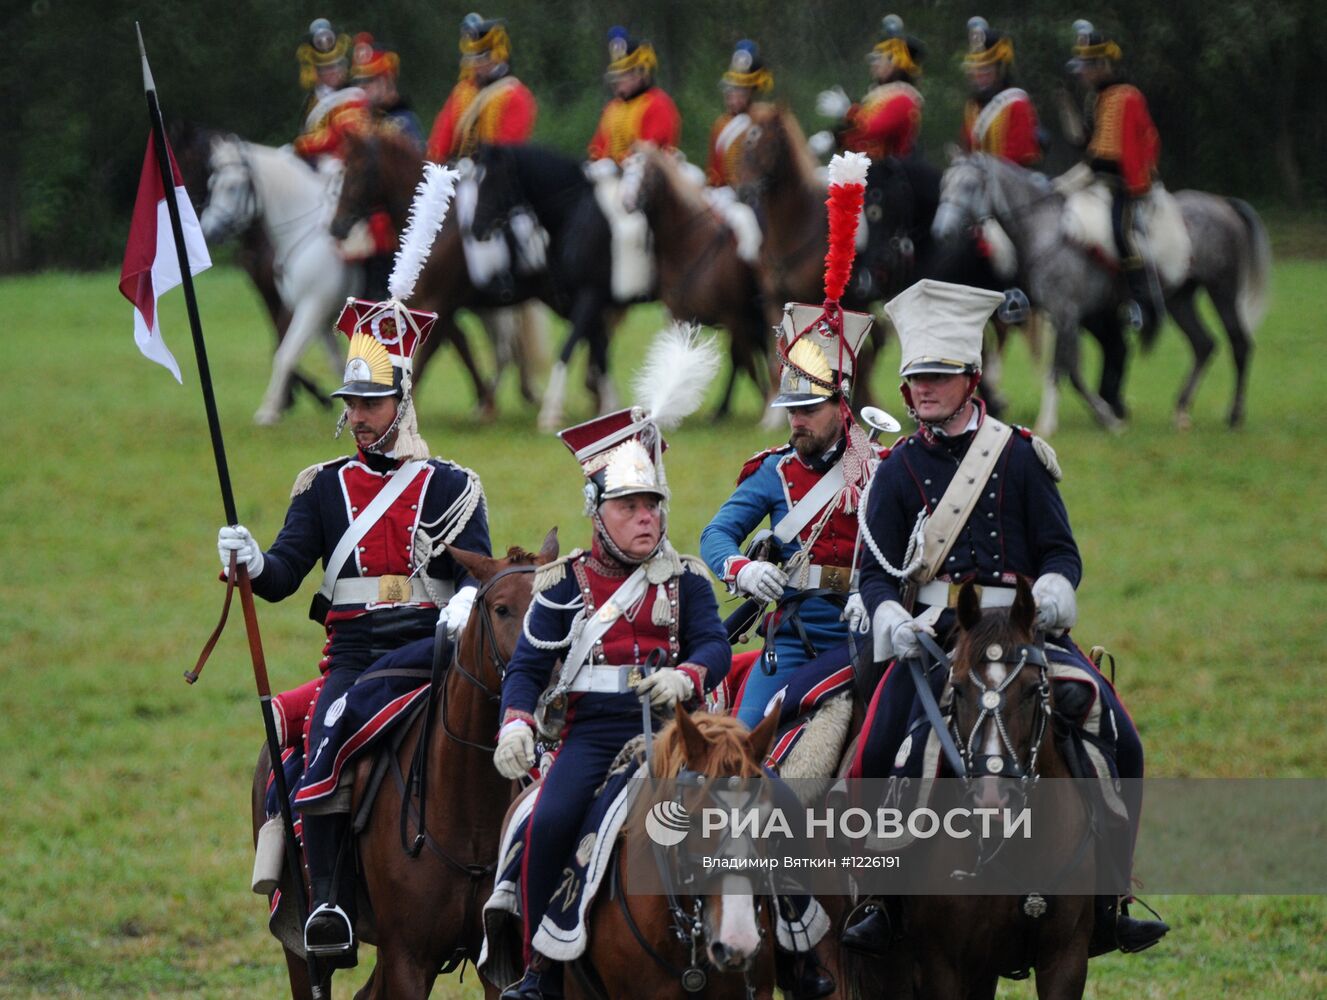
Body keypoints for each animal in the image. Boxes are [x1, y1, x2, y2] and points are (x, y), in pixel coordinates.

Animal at [200, 135, 363, 421]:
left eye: (232, 187)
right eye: (212, 185)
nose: (209, 231)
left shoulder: (311, 307)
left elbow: (285, 354)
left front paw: (269, 410)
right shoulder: (320, 317)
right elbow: (335, 361)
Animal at [250, 525, 557, 992]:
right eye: (502, 609)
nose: (550, 697)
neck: (465, 806)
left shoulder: (497, 959)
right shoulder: (408, 958)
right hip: (302, 947)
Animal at [928, 153, 1268, 435]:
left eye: (970, 185)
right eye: (944, 183)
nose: (941, 232)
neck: (1046, 230)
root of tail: (1224, 204)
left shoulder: (1066, 313)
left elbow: (1061, 368)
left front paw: (1048, 422)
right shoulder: (1068, 317)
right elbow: (1075, 371)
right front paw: (1107, 417)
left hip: (1222, 291)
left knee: (1239, 343)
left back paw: (1234, 415)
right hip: (1180, 299)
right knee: (1203, 344)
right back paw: (1181, 411)